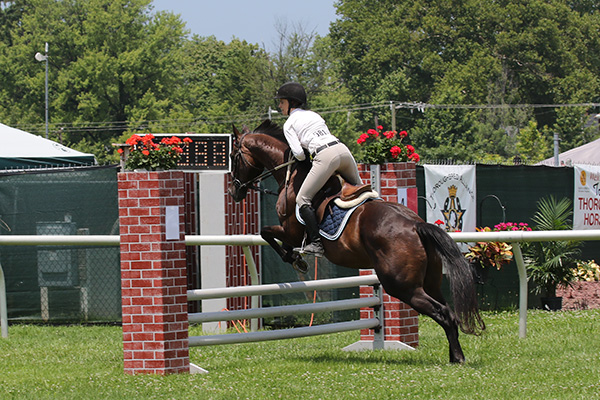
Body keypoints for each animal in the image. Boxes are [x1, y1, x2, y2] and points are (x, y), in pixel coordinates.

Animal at [227, 119, 486, 362]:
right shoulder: (290, 232)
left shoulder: (290, 229)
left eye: (232, 156)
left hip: (403, 286)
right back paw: (454, 355)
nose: (234, 192)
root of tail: (415, 225)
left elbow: (267, 233)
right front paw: (295, 257)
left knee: (443, 313)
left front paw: (296, 259)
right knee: (449, 311)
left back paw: (457, 358)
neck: (291, 176)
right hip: (430, 281)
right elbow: (274, 238)